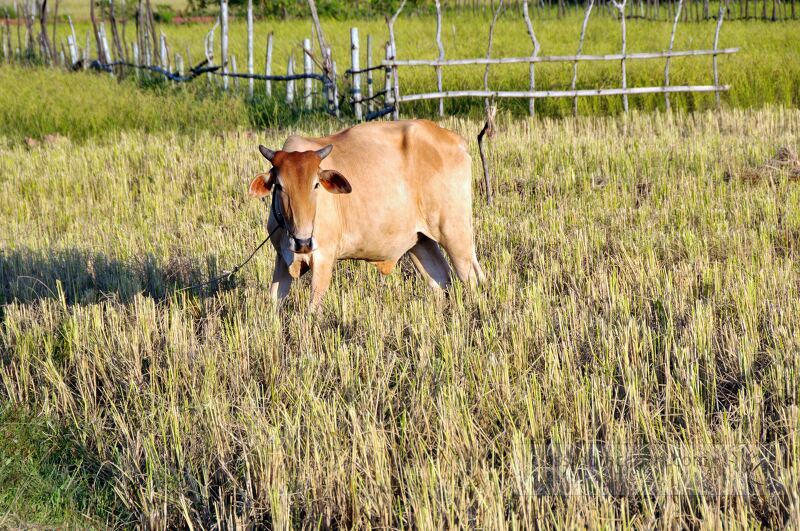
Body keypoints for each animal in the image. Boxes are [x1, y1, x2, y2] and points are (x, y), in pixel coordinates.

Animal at [250, 118, 484, 310]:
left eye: (316, 184)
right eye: (280, 186)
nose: (303, 242)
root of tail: (456, 140)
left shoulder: (324, 258)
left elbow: (312, 310)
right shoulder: (282, 259)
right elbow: (274, 303)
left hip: (455, 233)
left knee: (471, 278)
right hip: (421, 242)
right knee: (441, 281)